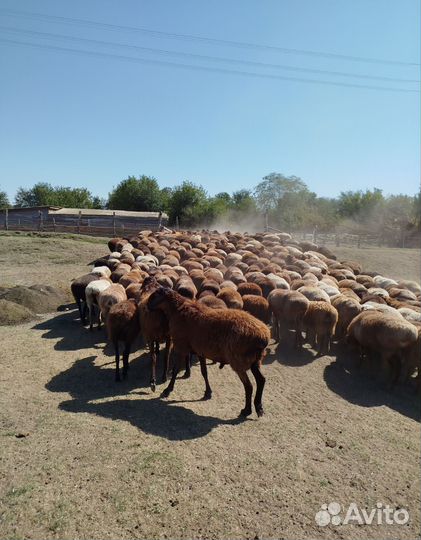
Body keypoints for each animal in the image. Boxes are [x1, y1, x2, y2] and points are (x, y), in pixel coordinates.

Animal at [147, 286, 270, 418]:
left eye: (155, 295)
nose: (147, 306)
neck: (177, 310)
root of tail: (263, 337)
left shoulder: (181, 346)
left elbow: (175, 370)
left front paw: (167, 390)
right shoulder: (200, 351)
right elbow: (204, 372)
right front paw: (208, 392)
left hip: (238, 361)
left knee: (249, 386)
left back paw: (246, 410)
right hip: (255, 361)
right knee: (261, 380)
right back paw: (259, 407)